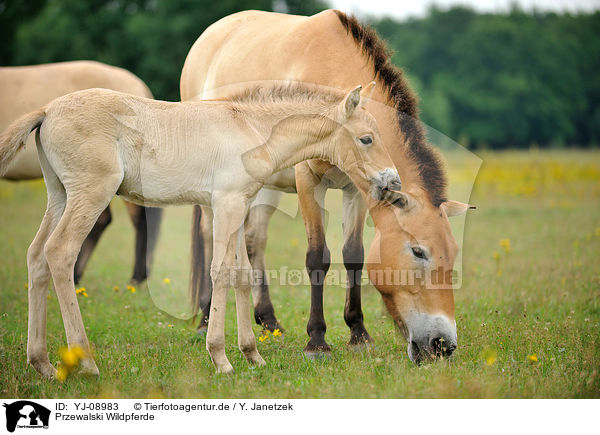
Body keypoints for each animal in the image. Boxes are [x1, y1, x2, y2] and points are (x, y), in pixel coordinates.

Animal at [180, 11, 476, 364]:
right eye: (418, 252)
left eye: (453, 252)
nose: (444, 345)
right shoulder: (309, 181)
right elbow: (317, 257)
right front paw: (317, 340)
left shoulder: (358, 189)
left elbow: (354, 255)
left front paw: (358, 333)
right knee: (210, 237)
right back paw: (205, 319)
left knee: (254, 241)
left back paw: (269, 321)